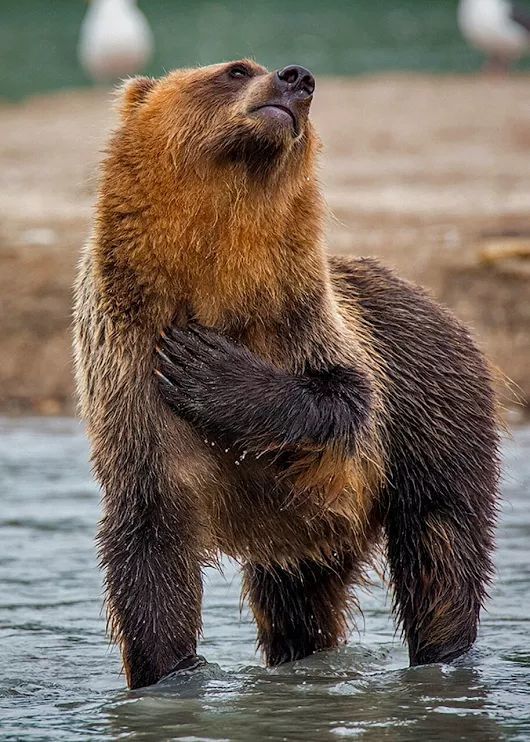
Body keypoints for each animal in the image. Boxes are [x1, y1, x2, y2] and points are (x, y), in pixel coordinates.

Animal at [72, 59, 498, 692]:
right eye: (235, 70)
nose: (297, 78)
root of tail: (443, 308)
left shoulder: (306, 324)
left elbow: (342, 401)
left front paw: (205, 365)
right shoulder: (128, 364)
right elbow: (151, 546)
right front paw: (168, 673)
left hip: (433, 416)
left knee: (441, 551)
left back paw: (443, 654)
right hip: (302, 534)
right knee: (296, 600)